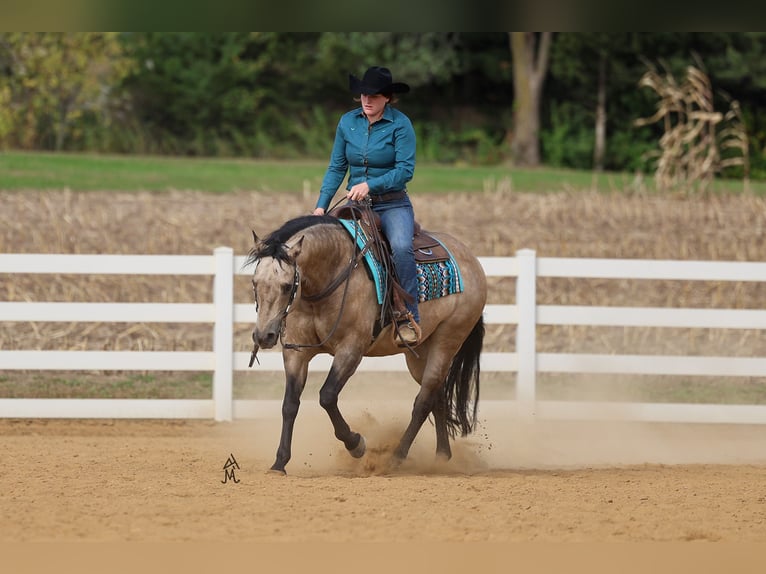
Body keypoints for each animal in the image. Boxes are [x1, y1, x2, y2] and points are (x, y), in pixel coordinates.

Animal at [245, 212, 487, 474]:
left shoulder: (351, 349)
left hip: (448, 338)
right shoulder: (296, 353)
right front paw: (279, 462)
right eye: (254, 283)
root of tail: (471, 259)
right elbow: (289, 404)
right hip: (421, 351)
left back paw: (396, 456)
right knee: (437, 396)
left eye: (287, 285)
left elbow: (327, 396)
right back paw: (441, 457)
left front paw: (356, 444)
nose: (263, 336)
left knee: (423, 402)